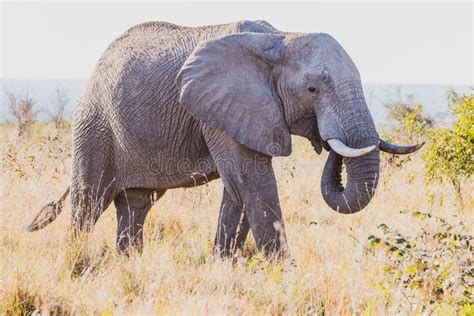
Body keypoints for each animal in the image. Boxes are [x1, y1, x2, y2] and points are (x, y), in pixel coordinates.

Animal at [26, 19, 422, 256]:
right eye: (312, 89)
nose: (326, 141)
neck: (280, 37)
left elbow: (238, 190)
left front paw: (225, 265)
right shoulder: (220, 111)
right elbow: (253, 182)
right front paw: (284, 275)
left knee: (136, 205)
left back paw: (129, 262)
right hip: (93, 126)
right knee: (88, 203)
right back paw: (78, 261)